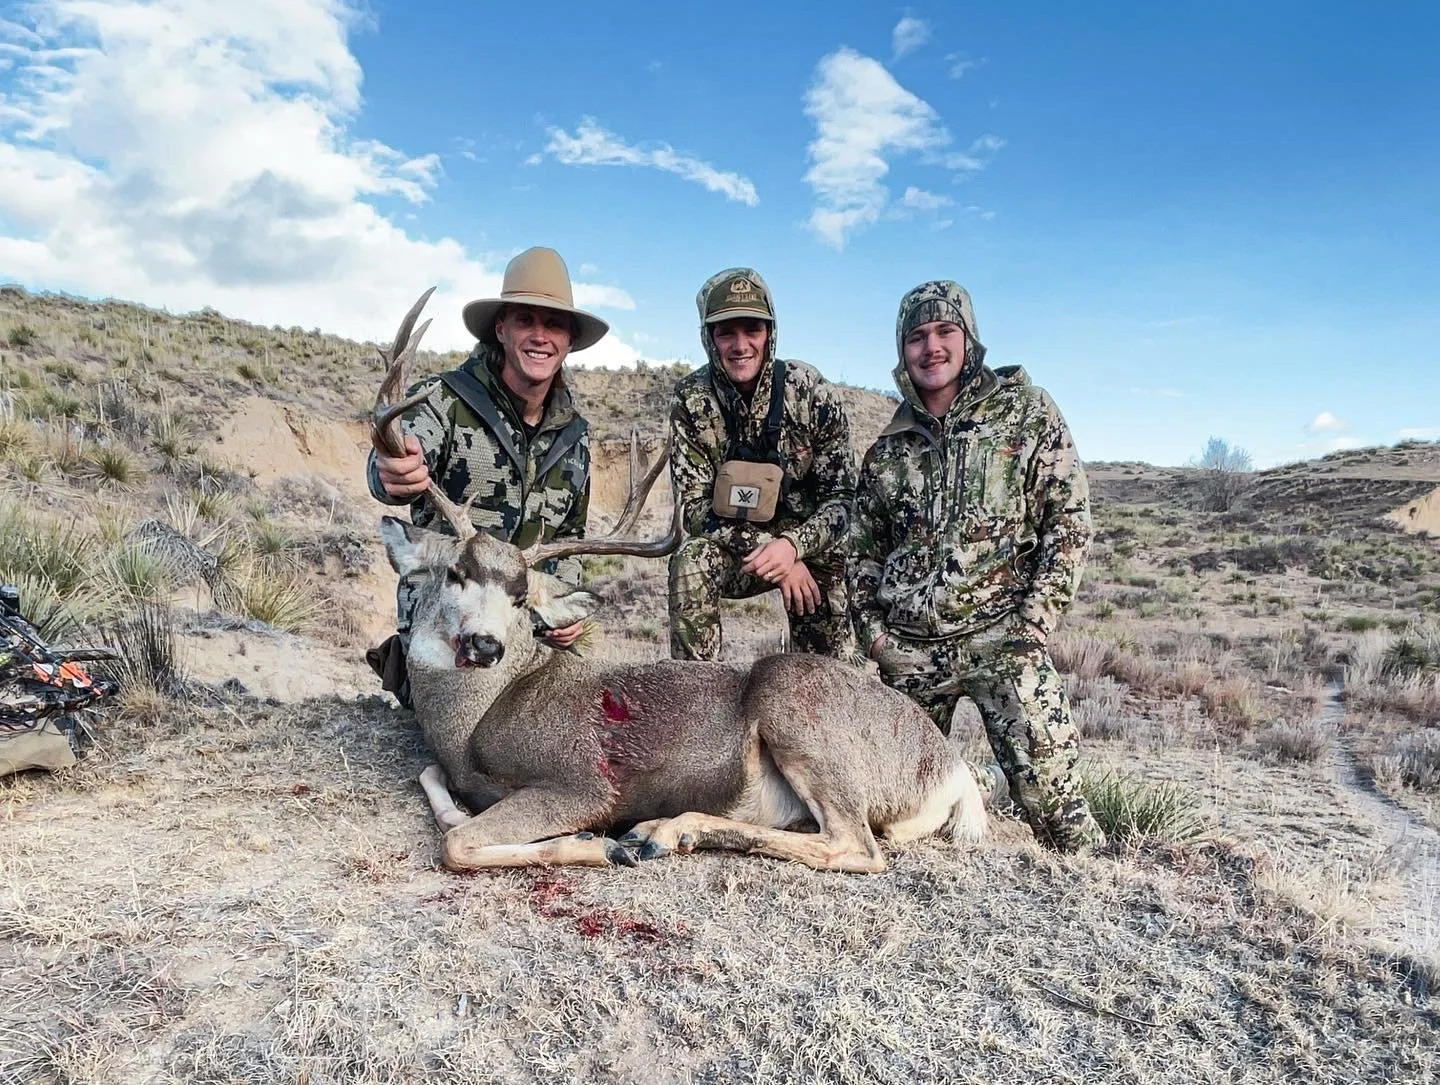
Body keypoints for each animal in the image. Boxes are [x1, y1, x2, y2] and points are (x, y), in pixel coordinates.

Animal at [370, 290, 990, 873]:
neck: (474, 724)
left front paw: (596, 844)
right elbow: (435, 786)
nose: (485, 644)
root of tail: (952, 768)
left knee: (856, 845)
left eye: (522, 600)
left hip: (797, 707)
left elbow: (456, 842)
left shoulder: (582, 780)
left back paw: (660, 832)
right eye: (456, 572)